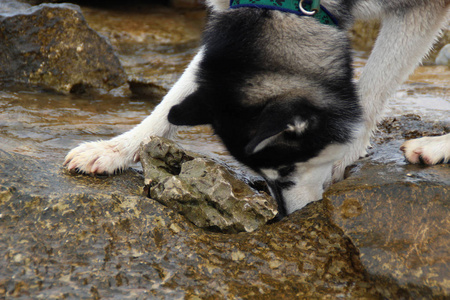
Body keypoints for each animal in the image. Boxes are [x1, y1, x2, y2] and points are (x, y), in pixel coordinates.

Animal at [65, 0, 450, 217]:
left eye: (287, 169)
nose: (289, 217)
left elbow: (372, 86)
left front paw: (344, 157)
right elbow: (177, 94)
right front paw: (117, 148)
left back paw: (436, 146)